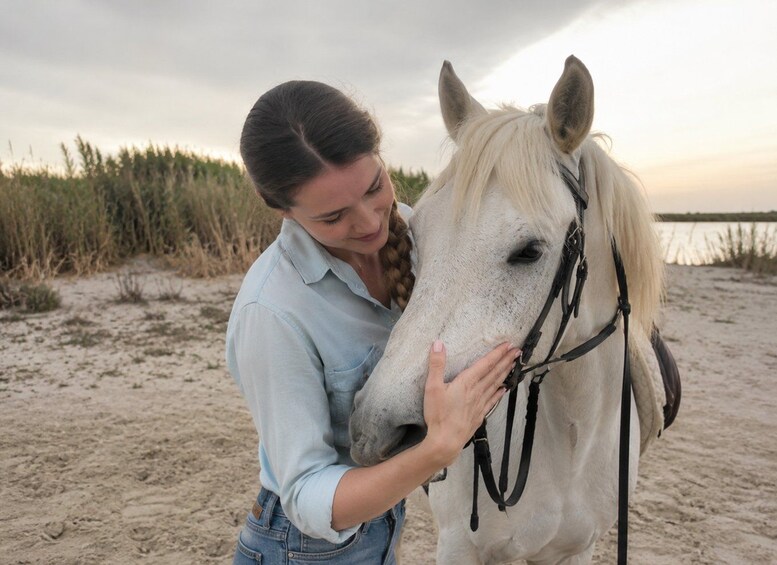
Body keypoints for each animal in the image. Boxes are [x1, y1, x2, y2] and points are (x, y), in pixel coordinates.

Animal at [349, 56, 666, 564]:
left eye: (530, 251)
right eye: (417, 238)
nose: (373, 430)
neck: (570, 442)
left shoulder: (579, 549)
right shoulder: (459, 547)